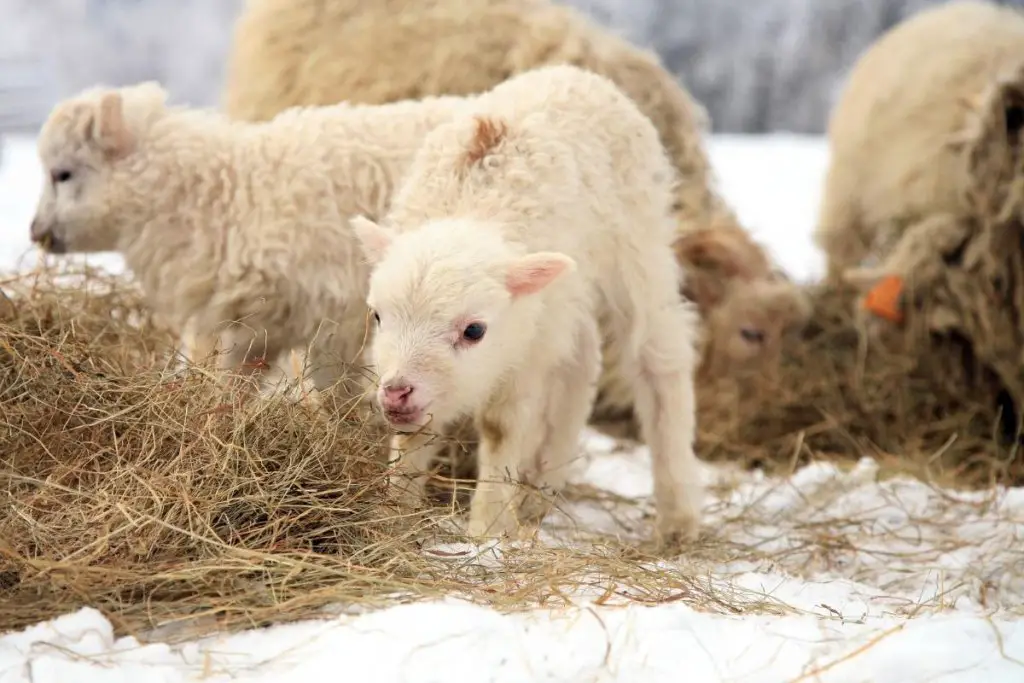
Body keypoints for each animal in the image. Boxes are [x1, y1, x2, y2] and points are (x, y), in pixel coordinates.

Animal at [350, 63, 704, 544]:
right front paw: (393, 511)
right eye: (378, 316)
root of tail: (571, 71)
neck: (474, 211)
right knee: (581, 363)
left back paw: (677, 516)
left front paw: (487, 528)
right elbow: (411, 438)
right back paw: (541, 491)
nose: (397, 391)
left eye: (474, 330)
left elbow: (501, 428)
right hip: (570, 294)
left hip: (638, 245)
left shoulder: (527, 352)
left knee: (659, 356)